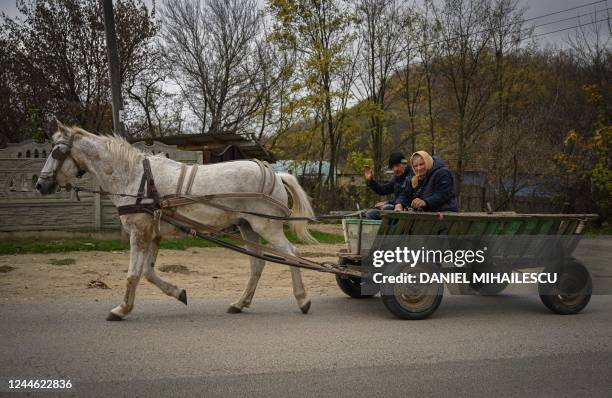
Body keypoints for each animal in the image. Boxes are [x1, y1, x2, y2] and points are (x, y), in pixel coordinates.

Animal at [35, 121, 318, 320]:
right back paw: (240, 303)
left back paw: (303, 300)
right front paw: (178, 293)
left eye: (56, 152)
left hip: (267, 227)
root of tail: (275, 173)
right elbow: (148, 272)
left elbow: (133, 273)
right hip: (248, 227)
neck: (136, 177)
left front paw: (121, 309)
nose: (39, 184)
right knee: (257, 264)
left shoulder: (139, 232)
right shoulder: (153, 234)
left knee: (292, 254)